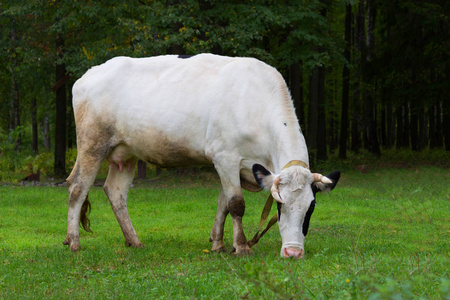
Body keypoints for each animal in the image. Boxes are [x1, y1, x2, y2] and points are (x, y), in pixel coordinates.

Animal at [62, 54, 338, 258]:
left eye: (311, 207)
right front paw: (242, 246)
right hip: (92, 143)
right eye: (279, 205)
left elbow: (223, 204)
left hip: (127, 152)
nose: (293, 253)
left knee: (115, 191)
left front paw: (218, 243)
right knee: (77, 187)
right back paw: (74, 242)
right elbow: (236, 204)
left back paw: (134, 241)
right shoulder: (225, 156)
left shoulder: (234, 165)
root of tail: (88, 75)